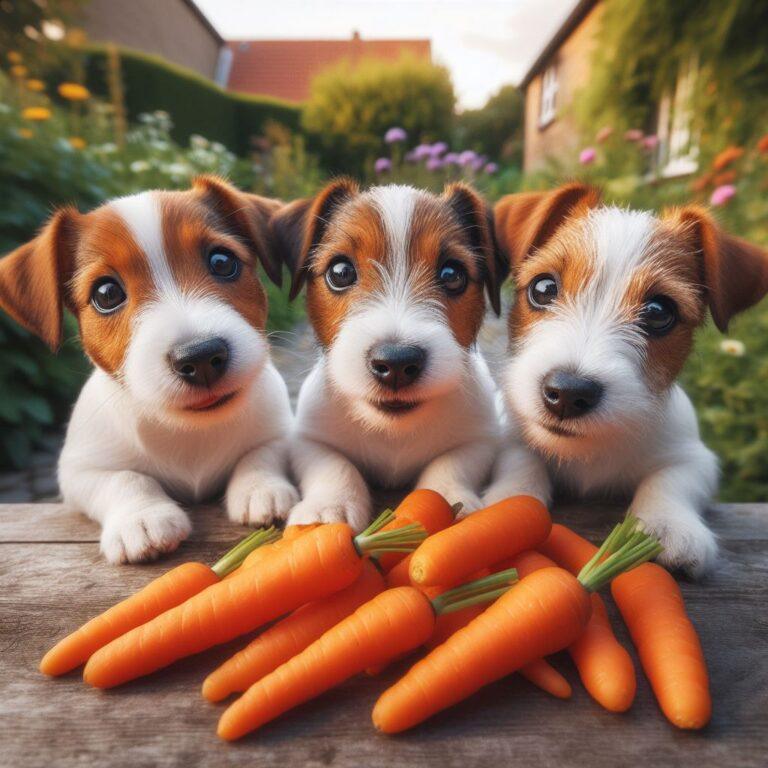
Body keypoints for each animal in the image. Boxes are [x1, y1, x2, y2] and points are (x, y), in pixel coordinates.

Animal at [0, 178, 296, 564]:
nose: (201, 356)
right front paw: (141, 519)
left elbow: (262, 452)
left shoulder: (283, 430)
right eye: (106, 293)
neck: (190, 431)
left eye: (222, 261)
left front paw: (262, 487)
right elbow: (124, 478)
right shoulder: (78, 469)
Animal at [270, 178, 520, 528]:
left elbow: (450, 464)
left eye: (452, 274)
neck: (393, 434)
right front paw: (329, 506)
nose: (397, 363)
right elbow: (333, 465)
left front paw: (448, 501)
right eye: (340, 271)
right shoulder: (309, 437)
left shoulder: (479, 438)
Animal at [486, 182, 768, 576]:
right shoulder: (509, 431)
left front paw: (669, 523)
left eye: (659, 312)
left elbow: (671, 479)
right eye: (543, 289)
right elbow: (520, 460)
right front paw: (507, 504)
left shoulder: (693, 455)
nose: (568, 393)